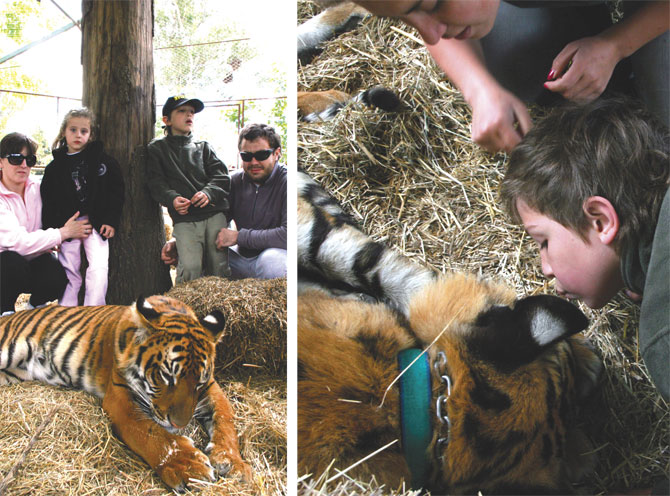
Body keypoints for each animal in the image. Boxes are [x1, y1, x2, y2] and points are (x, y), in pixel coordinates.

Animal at [0, 294, 251, 492]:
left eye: (198, 382)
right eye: (167, 375)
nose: (179, 424)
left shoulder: (211, 387)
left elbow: (226, 419)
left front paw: (234, 463)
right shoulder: (120, 398)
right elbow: (151, 433)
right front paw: (188, 466)